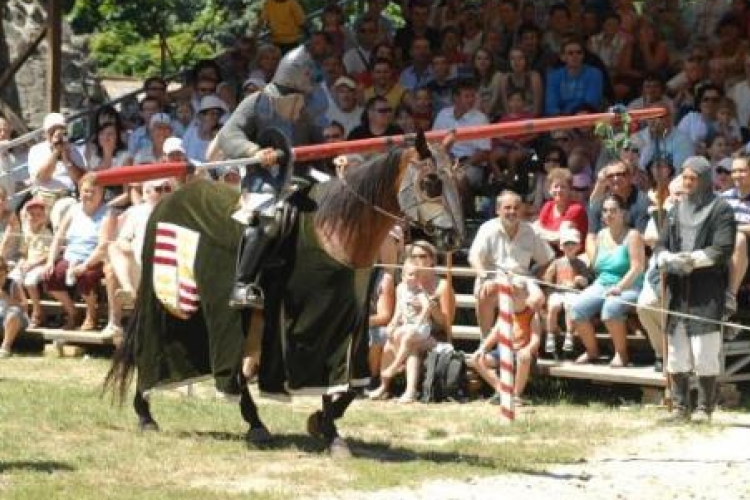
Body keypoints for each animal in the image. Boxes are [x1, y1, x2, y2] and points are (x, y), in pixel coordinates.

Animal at [103, 132, 468, 458]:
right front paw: (331, 433)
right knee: (152, 349)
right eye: (431, 181)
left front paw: (321, 423)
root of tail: (166, 201)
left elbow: (352, 385)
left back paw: (253, 424)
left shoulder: (352, 326)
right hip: (173, 307)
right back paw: (148, 413)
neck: (335, 234)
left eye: (457, 180)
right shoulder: (316, 326)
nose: (454, 239)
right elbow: (329, 380)